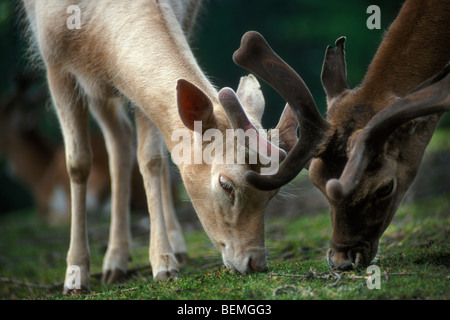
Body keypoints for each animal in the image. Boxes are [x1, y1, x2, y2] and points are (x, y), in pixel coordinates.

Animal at [22, 0, 296, 294]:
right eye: (226, 184)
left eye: (273, 193)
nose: (255, 263)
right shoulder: (54, 63)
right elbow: (78, 164)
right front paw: (75, 275)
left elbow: (151, 158)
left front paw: (164, 263)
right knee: (119, 137)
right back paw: (114, 262)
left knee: (130, 138)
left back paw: (150, 252)